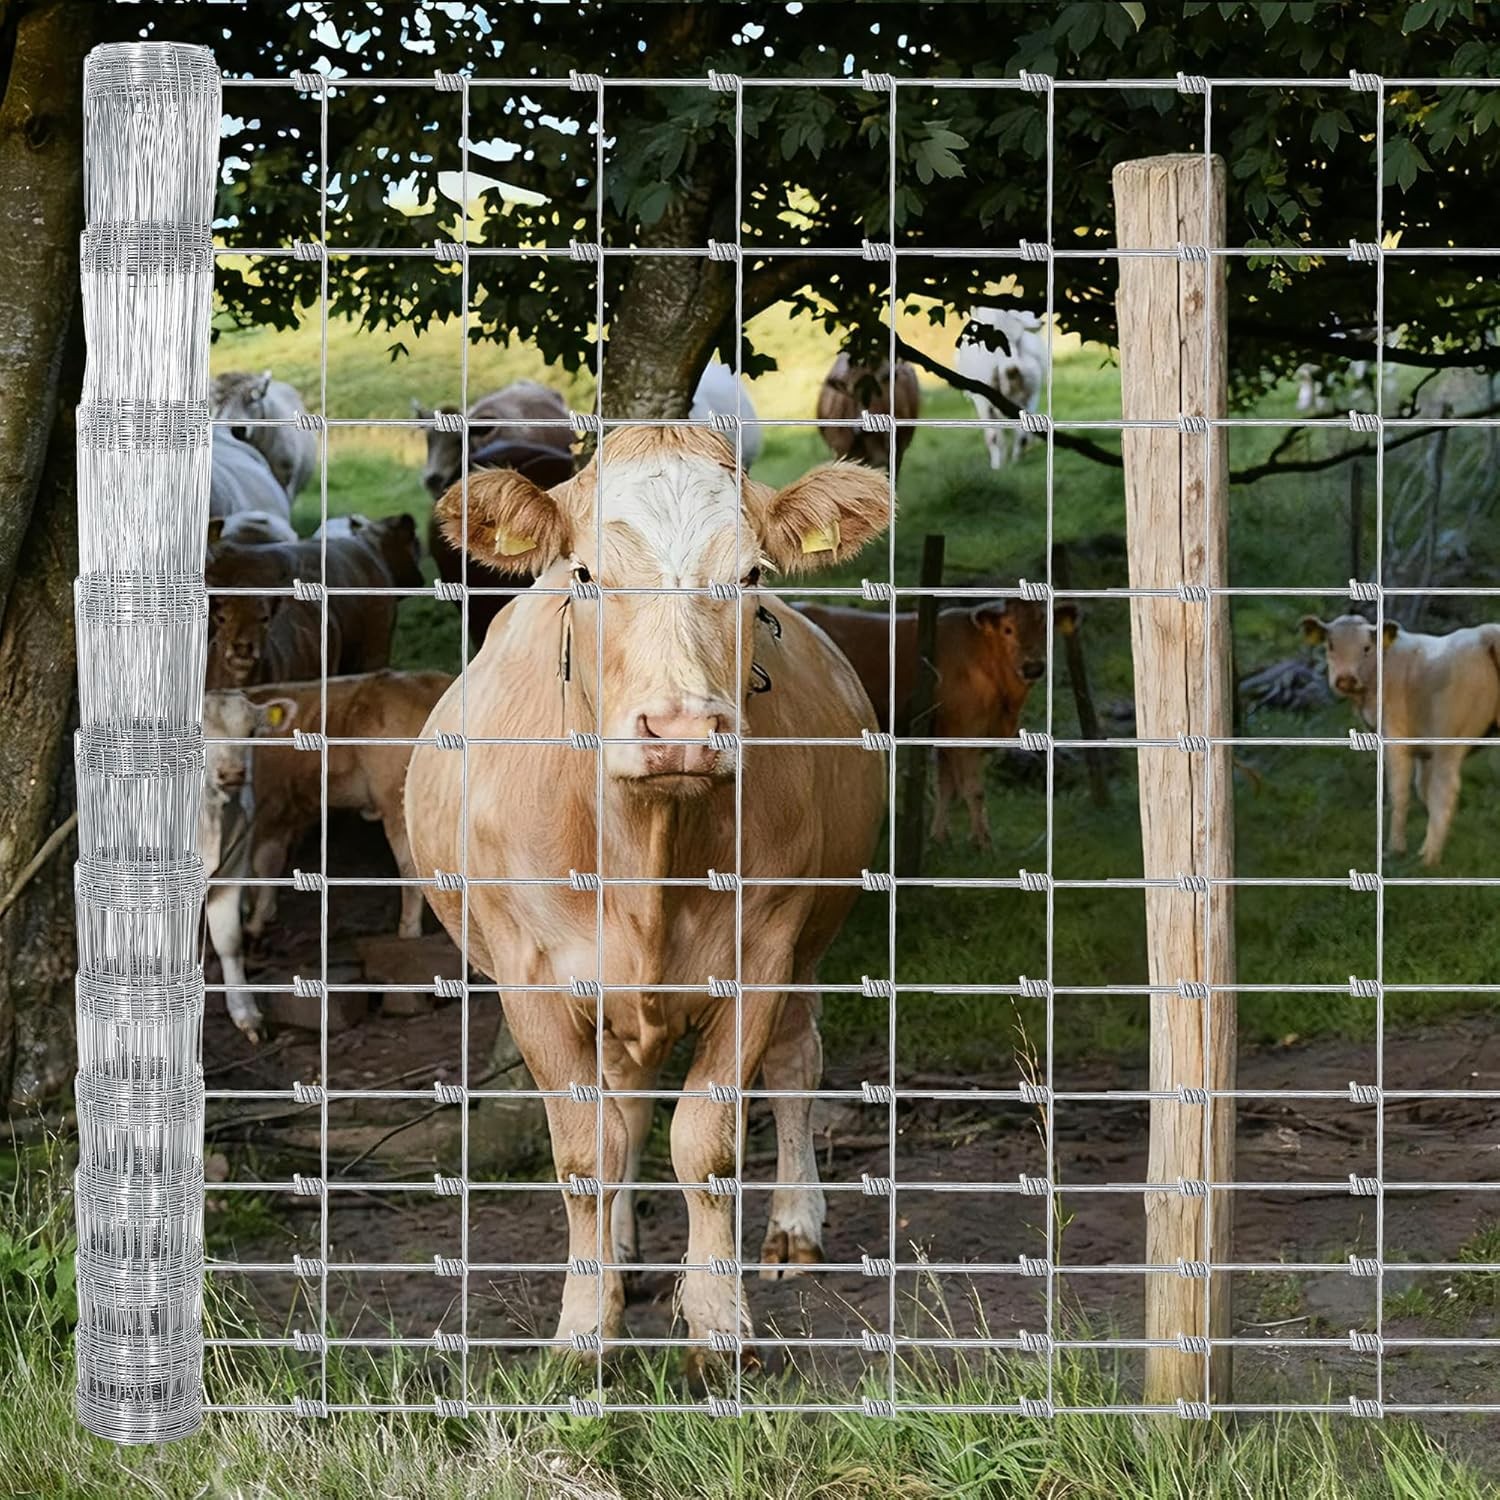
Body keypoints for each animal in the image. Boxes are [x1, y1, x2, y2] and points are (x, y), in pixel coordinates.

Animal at [405, 426, 891, 1374]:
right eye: (587, 573)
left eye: (750, 574)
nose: (681, 732)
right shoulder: (530, 978)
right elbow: (588, 1152)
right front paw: (585, 1328)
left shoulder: (762, 955)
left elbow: (707, 1144)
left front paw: (717, 1324)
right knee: (624, 1105)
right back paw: (622, 1257)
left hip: (810, 940)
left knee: (796, 1065)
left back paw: (792, 1228)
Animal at [796, 597, 1078, 849]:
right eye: (1008, 629)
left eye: (1046, 627)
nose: (1033, 667)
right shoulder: (964, 730)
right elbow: (974, 790)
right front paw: (983, 843)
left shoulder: (946, 733)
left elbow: (947, 787)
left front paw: (940, 837)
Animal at [955, 307, 1047, 469]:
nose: (1041, 321)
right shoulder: (983, 403)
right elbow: (993, 437)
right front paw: (997, 466)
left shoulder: (1028, 397)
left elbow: (1021, 432)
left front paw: (1016, 460)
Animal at [1302, 614, 1500, 866]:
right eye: (1331, 646)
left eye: (1366, 648)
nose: (1345, 679)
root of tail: (1485, 634)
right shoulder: (1424, 747)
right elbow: (1422, 788)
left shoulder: (1395, 737)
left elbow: (1400, 793)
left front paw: (1396, 849)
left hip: (1450, 739)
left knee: (1445, 789)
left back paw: (1429, 858)